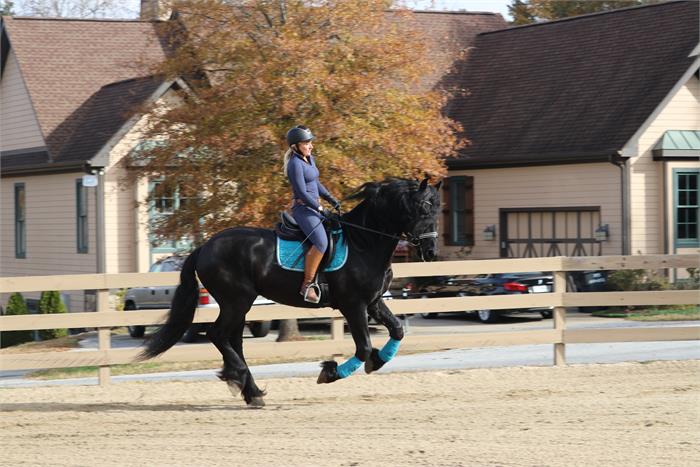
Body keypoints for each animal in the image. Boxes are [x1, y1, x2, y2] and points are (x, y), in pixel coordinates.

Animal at [139, 178, 440, 406]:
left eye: (438, 210)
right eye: (422, 209)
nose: (431, 252)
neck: (363, 242)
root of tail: (205, 247)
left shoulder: (374, 302)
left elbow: (397, 330)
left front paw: (378, 361)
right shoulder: (354, 305)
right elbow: (363, 347)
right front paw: (330, 372)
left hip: (238, 304)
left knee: (233, 340)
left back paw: (249, 390)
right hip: (236, 301)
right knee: (218, 335)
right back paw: (239, 378)